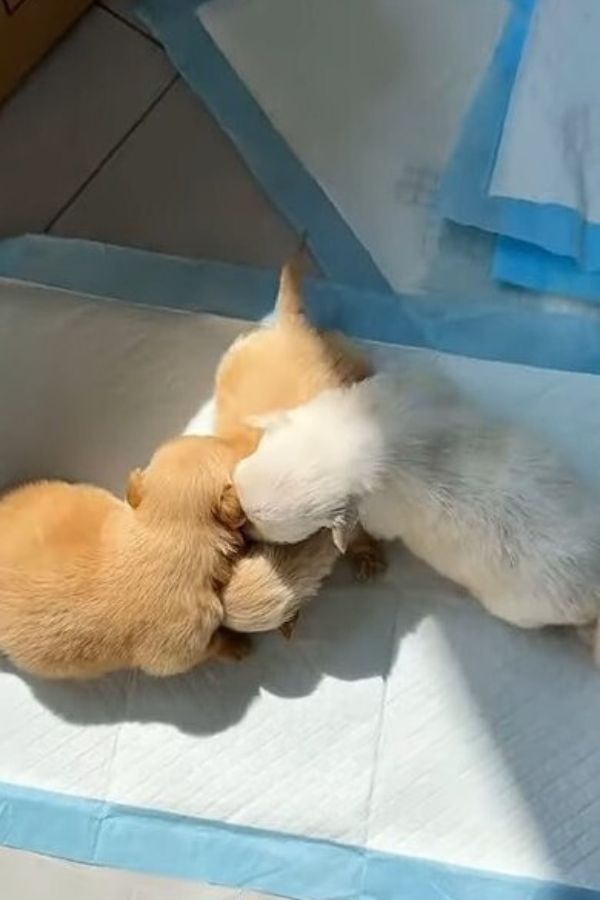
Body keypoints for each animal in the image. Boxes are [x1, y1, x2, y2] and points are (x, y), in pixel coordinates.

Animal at [0, 438, 248, 684]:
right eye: (223, 446)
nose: (227, 439)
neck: (166, 529)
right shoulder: (179, 646)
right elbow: (209, 648)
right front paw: (235, 645)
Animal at [236, 366, 600, 652]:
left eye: (256, 525)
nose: (240, 527)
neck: (353, 445)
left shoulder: (377, 514)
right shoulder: (405, 387)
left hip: (519, 607)